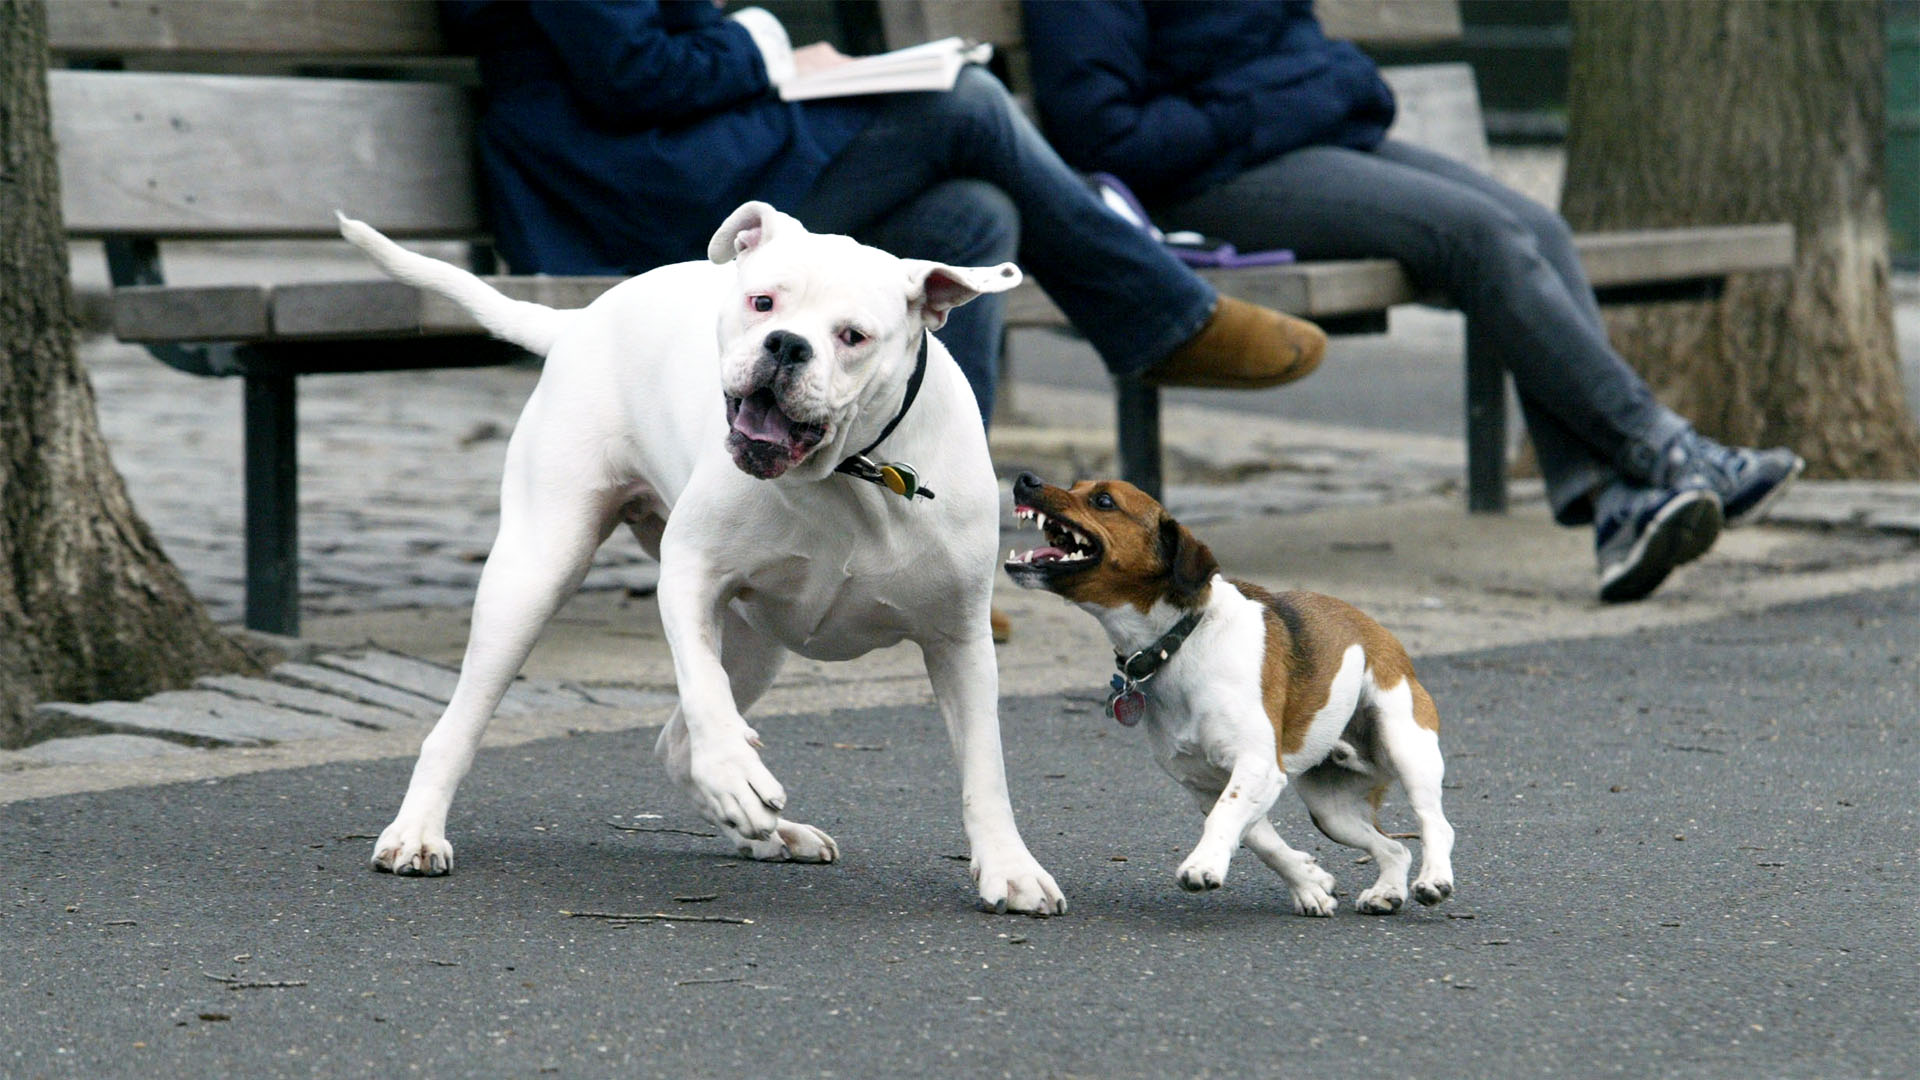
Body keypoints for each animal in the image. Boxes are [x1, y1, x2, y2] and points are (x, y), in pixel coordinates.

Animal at [341, 199, 1067, 907]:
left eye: (853, 336)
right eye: (762, 302)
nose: (786, 343)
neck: (849, 475)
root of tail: (578, 319)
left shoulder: (960, 641)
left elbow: (985, 767)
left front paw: (1010, 867)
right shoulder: (691, 574)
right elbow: (704, 691)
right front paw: (736, 772)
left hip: (758, 647)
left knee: (674, 745)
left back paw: (769, 833)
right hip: (533, 577)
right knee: (462, 724)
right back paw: (417, 831)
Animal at [1006, 474, 1451, 910]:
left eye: (1103, 501)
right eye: (1075, 486)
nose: (1024, 479)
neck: (1182, 638)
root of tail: (1381, 634)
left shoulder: (1256, 765)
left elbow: (1225, 818)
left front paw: (1202, 866)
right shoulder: (1206, 783)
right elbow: (1259, 838)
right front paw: (1309, 882)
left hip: (1406, 748)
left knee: (1435, 824)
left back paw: (1434, 879)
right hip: (1332, 812)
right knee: (1395, 849)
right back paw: (1387, 891)